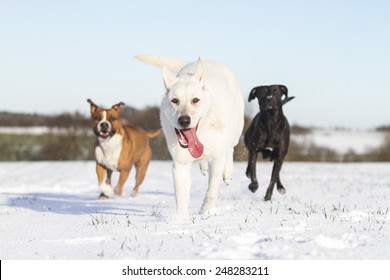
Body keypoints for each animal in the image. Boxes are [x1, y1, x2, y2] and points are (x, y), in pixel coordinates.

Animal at [136, 54, 242, 217]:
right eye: (174, 100)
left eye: (195, 100)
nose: (184, 120)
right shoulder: (180, 164)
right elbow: (181, 197)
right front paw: (181, 219)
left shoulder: (216, 159)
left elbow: (212, 190)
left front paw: (205, 210)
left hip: (236, 130)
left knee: (229, 148)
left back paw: (227, 172)